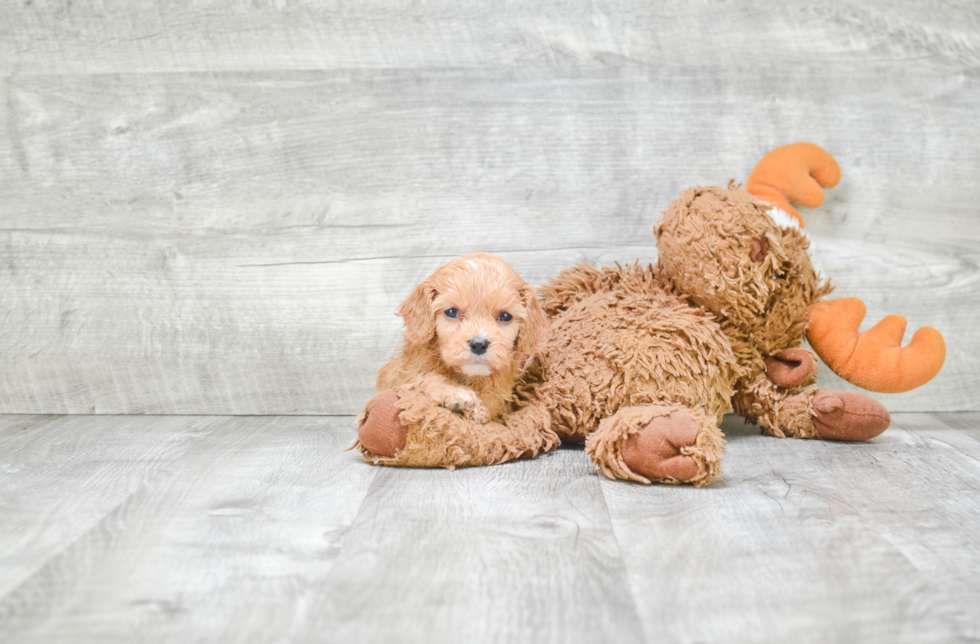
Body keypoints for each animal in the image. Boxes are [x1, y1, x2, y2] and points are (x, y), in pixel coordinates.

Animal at [374, 254, 548, 426]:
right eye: (452, 312)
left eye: (505, 316)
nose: (479, 344)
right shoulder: (406, 374)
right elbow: (423, 378)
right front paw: (455, 393)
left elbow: (495, 401)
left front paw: (480, 408)